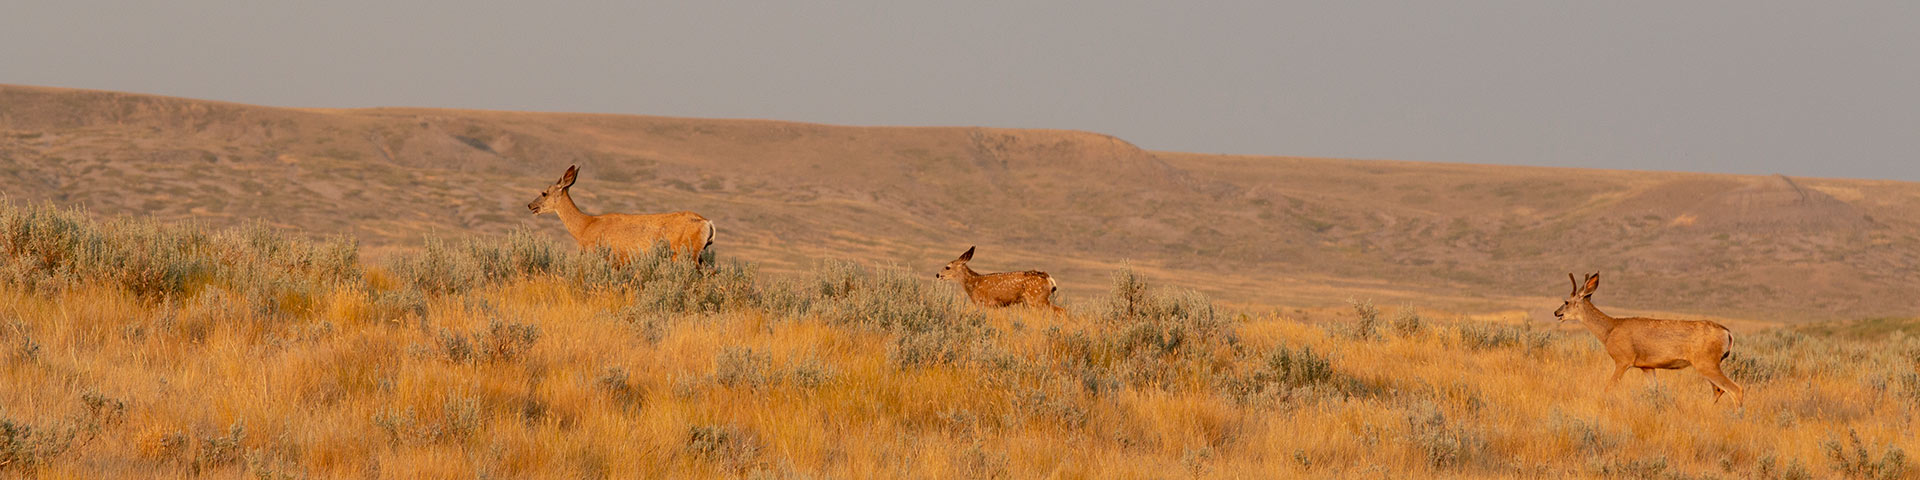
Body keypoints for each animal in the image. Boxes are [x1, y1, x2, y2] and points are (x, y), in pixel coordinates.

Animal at [940, 245, 1075, 312]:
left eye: (947, 267)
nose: (938, 275)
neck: (973, 283)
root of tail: (1049, 279)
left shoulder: (984, 303)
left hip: (1036, 298)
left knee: (1060, 310)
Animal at [1551, 274, 1751, 405]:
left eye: (1566, 301)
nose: (1556, 312)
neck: (1610, 329)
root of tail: (1727, 332)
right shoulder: (1647, 366)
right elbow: (1654, 391)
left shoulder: (1623, 360)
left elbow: (1608, 388)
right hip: (1708, 364)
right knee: (1719, 390)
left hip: (1706, 363)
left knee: (1735, 389)